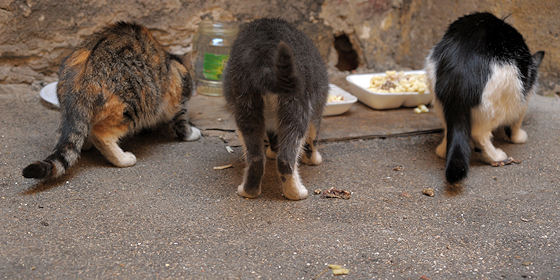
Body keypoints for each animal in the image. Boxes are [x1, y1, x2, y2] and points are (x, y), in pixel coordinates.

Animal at [22, 21, 201, 179]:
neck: (175, 62)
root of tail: (84, 71)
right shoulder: (177, 101)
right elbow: (182, 123)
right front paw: (192, 133)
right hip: (133, 106)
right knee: (100, 134)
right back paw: (123, 158)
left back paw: (85, 143)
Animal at [223, 18, 328, 200]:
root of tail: (264, 56)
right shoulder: (317, 108)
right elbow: (312, 139)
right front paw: (314, 160)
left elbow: (273, 138)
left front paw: (272, 152)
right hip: (297, 107)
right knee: (286, 158)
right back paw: (296, 193)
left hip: (246, 106)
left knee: (256, 157)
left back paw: (249, 191)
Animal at [424, 12, 544, 184]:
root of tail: (460, 68)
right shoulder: (524, 96)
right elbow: (516, 123)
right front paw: (518, 137)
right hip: (505, 96)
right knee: (480, 134)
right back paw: (497, 157)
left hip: (437, 92)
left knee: (449, 129)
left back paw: (442, 150)